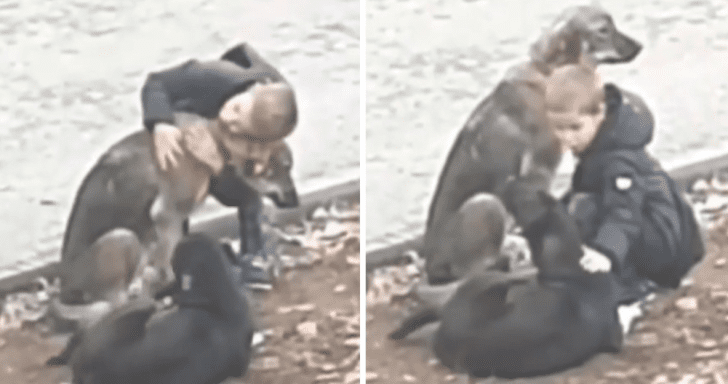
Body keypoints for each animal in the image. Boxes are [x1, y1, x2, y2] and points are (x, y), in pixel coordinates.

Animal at [420, 4, 644, 284]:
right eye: (603, 30)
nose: (640, 46)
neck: (551, 73)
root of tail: (431, 267)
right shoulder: (539, 169)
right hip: (485, 203)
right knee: (473, 272)